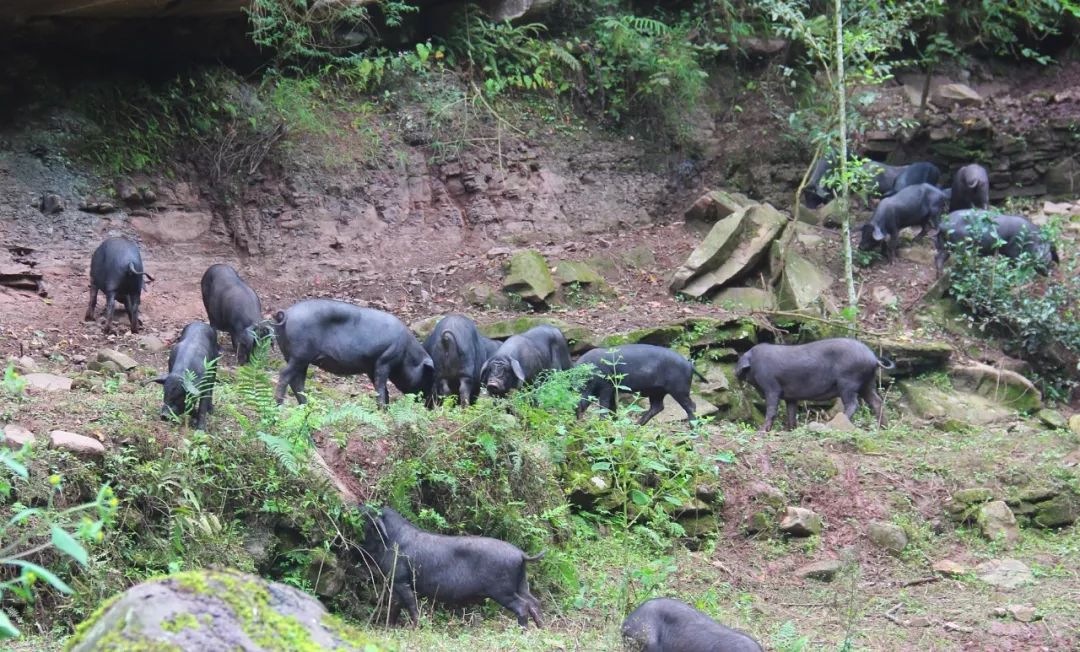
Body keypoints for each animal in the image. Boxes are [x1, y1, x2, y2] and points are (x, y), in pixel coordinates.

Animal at [270, 297, 434, 405]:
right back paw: (279, 404)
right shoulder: (385, 360)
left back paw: (305, 405)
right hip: (300, 355)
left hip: (295, 357)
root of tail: (286, 313)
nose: (430, 405)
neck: (407, 353)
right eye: (427, 375)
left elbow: (381, 389)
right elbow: (381, 388)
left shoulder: (371, 367)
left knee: (297, 382)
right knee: (285, 374)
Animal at [358, 505, 544, 626]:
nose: (357, 505)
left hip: (502, 590)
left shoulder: (400, 579)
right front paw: (389, 627)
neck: (391, 540)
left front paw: (416, 627)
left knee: (522, 606)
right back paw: (541, 628)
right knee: (534, 602)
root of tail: (521, 554)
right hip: (521, 584)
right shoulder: (397, 582)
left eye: (368, 515)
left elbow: (411, 604)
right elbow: (395, 605)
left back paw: (523, 631)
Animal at [574, 343, 708, 425]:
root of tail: (689, 364)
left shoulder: (606, 386)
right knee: (657, 407)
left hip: (679, 389)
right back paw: (636, 425)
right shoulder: (612, 389)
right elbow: (613, 406)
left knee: (691, 406)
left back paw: (693, 430)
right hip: (657, 391)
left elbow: (604, 405)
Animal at [734, 338, 894, 429]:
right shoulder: (791, 396)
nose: (734, 372)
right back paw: (883, 427)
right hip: (868, 383)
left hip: (848, 382)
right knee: (877, 401)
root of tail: (873, 358)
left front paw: (762, 431)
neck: (754, 364)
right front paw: (790, 430)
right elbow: (791, 412)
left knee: (853, 404)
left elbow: (772, 409)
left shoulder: (771, 386)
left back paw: (831, 424)